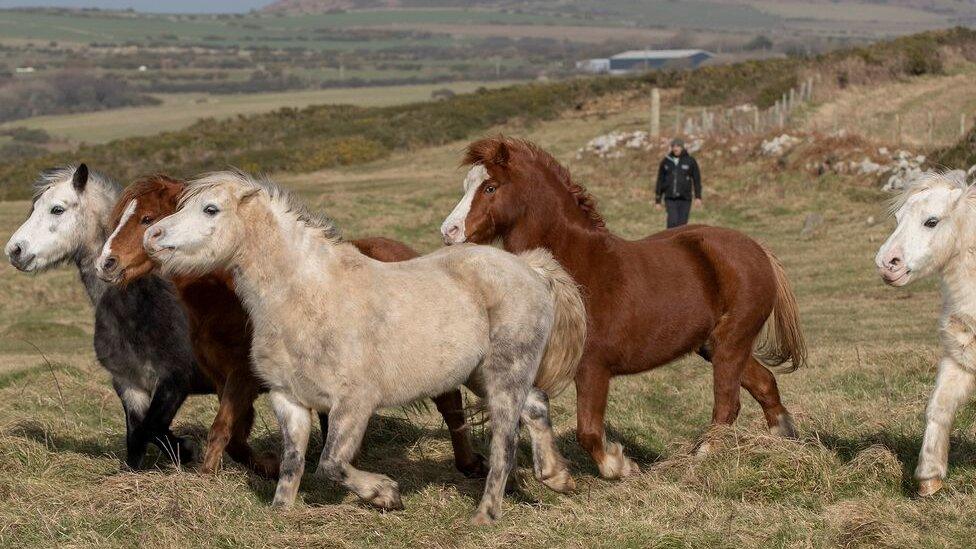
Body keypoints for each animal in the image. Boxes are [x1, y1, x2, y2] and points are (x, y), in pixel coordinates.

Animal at [3, 163, 211, 466]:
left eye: (57, 209)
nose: (14, 251)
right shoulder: (128, 384)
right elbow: (137, 437)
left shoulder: (175, 380)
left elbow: (152, 429)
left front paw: (189, 450)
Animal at [96, 173, 488, 478]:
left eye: (146, 218)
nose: (107, 263)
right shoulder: (226, 380)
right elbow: (235, 437)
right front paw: (266, 468)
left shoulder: (242, 378)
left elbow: (222, 429)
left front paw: (208, 476)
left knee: (451, 404)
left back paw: (469, 464)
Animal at [143, 171, 588, 524]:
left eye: (211, 209)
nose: (152, 236)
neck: (308, 298)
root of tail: (529, 267)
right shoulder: (289, 400)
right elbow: (292, 464)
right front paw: (281, 513)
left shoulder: (353, 404)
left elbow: (330, 464)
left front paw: (387, 495)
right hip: (483, 376)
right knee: (537, 405)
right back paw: (557, 477)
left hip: (503, 374)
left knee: (505, 446)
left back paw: (485, 516)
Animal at [442, 135, 808, 478]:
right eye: (466, 186)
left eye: (490, 187)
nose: (449, 232)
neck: (571, 267)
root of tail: (758, 250)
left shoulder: (593, 367)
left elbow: (588, 431)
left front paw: (620, 466)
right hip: (715, 345)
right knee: (765, 384)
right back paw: (784, 443)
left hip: (731, 343)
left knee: (728, 405)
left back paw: (702, 456)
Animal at [876, 170, 976, 496]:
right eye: (897, 219)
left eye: (931, 221)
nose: (887, 263)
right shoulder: (959, 358)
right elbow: (938, 408)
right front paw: (928, 478)